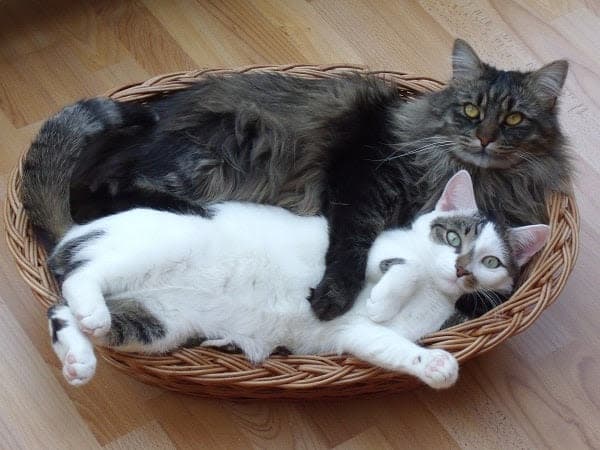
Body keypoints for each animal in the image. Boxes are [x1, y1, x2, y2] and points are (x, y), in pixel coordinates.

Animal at [21, 38, 568, 320]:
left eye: (514, 120)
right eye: (471, 111)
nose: (485, 139)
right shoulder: (359, 177)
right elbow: (349, 245)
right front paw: (333, 298)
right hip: (222, 144)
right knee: (107, 196)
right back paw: (191, 210)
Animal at [47, 171, 548, 388]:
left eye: (491, 261)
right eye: (452, 236)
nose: (462, 268)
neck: (432, 292)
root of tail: (74, 232)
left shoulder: (356, 334)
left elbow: (389, 344)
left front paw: (434, 365)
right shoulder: (363, 254)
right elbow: (399, 266)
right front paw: (384, 298)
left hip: (161, 322)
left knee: (63, 312)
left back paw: (79, 360)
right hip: (169, 243)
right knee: (80, 279)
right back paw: (88, 308)